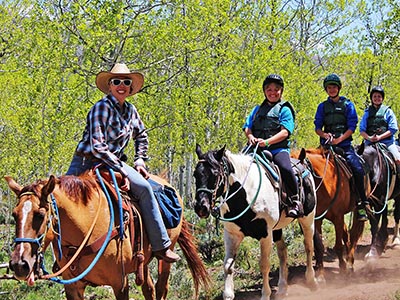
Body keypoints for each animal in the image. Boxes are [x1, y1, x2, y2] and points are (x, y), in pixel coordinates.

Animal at [5, 171, 209, 300]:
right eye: (14, 215)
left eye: (40, 215)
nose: (19, 264)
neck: (85, 231)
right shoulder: (73, 287)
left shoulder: (120, 283)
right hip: (141, 262)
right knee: (148, 288)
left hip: (166, 255)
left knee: (161, 288)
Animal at [194, 144, 318, 298]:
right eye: (195, 174)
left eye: (215, 173)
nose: (201, 207)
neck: (246, 194)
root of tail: (301, 161)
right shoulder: (232, 234)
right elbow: (228, 266)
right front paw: (228, 294)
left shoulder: (265, 234)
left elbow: (264, 265)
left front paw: (265, 294)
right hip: (277, 229)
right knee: (282, 251)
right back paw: (282, 288)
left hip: (307, 219)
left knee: (308, 245)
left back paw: (312, 280)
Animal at [290, 146, 366, 282]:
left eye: (298, 177)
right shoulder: (316, 219)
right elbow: (319, 246)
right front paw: (320, 275)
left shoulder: (338, 216)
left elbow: (338, 246)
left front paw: (343, 269)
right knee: (346, 234)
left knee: (353, 235)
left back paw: (350, 264)